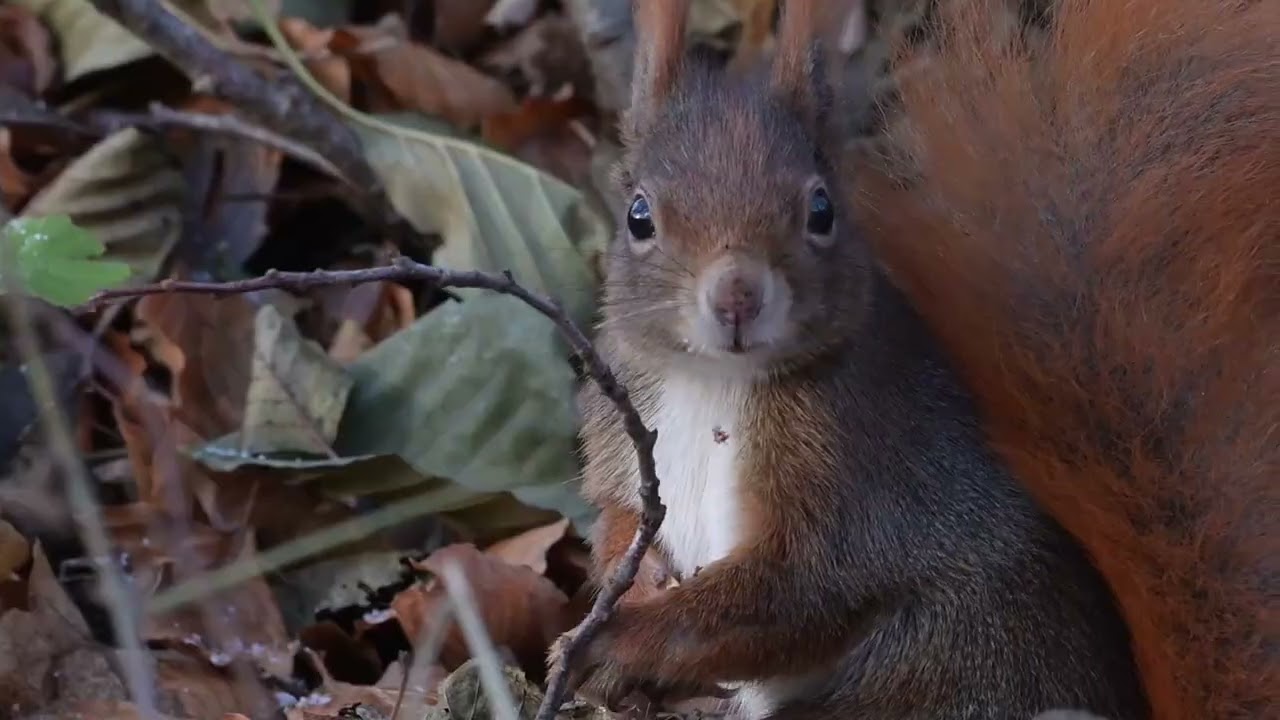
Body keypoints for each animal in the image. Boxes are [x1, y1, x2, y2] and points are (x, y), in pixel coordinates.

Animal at [568, 1, 1277, 719]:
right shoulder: (623, 428)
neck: (715, 378)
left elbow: (790, 595)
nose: (737, 295)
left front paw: (613, 640)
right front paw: (630, 584)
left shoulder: (857, 482)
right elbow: (617, 520)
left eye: (822, 209)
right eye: (638, 215)